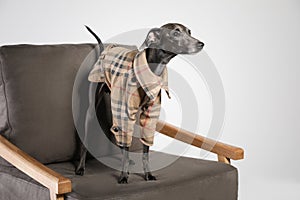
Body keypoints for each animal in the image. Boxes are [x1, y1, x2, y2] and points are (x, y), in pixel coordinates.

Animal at [74, 22, 204, 184]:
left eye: (189, 32)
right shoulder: (125, 114)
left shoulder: (149, 117)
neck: (152, 70)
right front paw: (124, 176)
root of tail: (104, 51)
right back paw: (81, 168)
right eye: (175, 33)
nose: (201, 44)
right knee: (87, 140)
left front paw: (148, 174)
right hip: (92, 110)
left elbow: (144, 151)